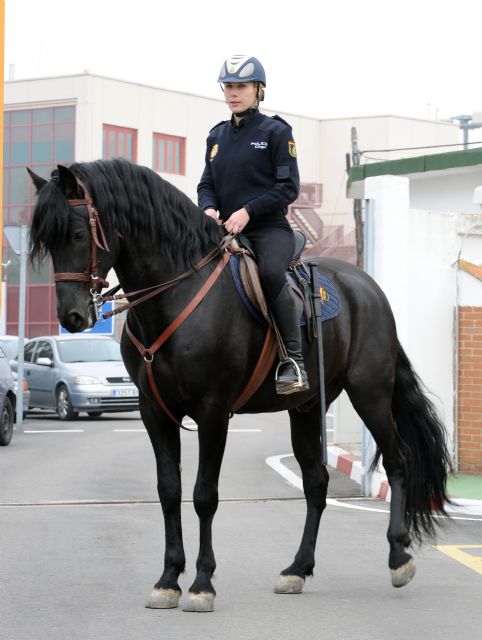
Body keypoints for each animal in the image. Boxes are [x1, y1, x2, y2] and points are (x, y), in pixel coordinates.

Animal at [29, 158, 452, 612]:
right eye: (47, 241)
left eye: (76, 234)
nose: (72, 317)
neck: (177, 293)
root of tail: (367, 286)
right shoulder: (154, 412)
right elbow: (168, 490)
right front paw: (168, 579)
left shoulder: (213, 411)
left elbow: (204, 495)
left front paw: (201, 583)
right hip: (306, 407)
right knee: (316, 481)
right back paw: (297, 568)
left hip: (369, 392)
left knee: (398, 460)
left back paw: (398, 557)